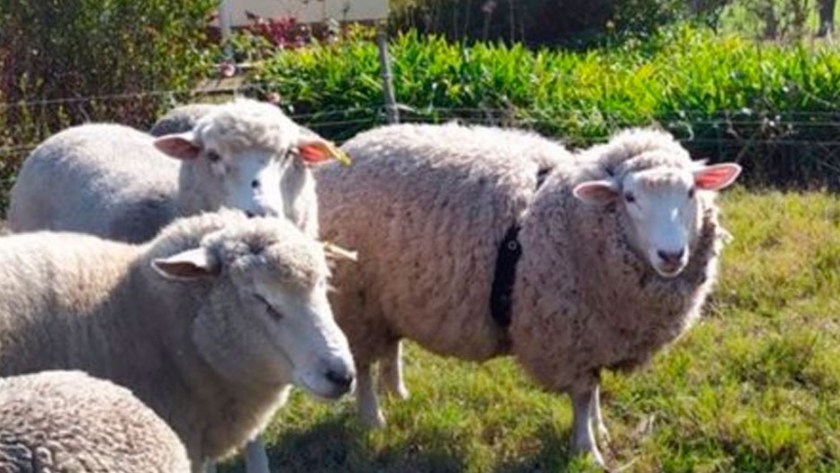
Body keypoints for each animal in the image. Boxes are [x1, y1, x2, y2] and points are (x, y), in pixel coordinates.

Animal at [317, 123, 741, 467]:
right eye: (630, 197)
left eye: (690, 191)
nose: (672, 255)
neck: (573, 217)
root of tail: (351, 146)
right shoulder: (567, 335)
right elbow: (583, 394)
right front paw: (587, 450)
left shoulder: (595, 334)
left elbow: (595, 389)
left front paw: (600, 431)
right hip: (355, 297)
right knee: (363, 363)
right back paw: (373, 419)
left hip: (389, 299)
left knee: (391, 347)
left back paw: (399, 394)